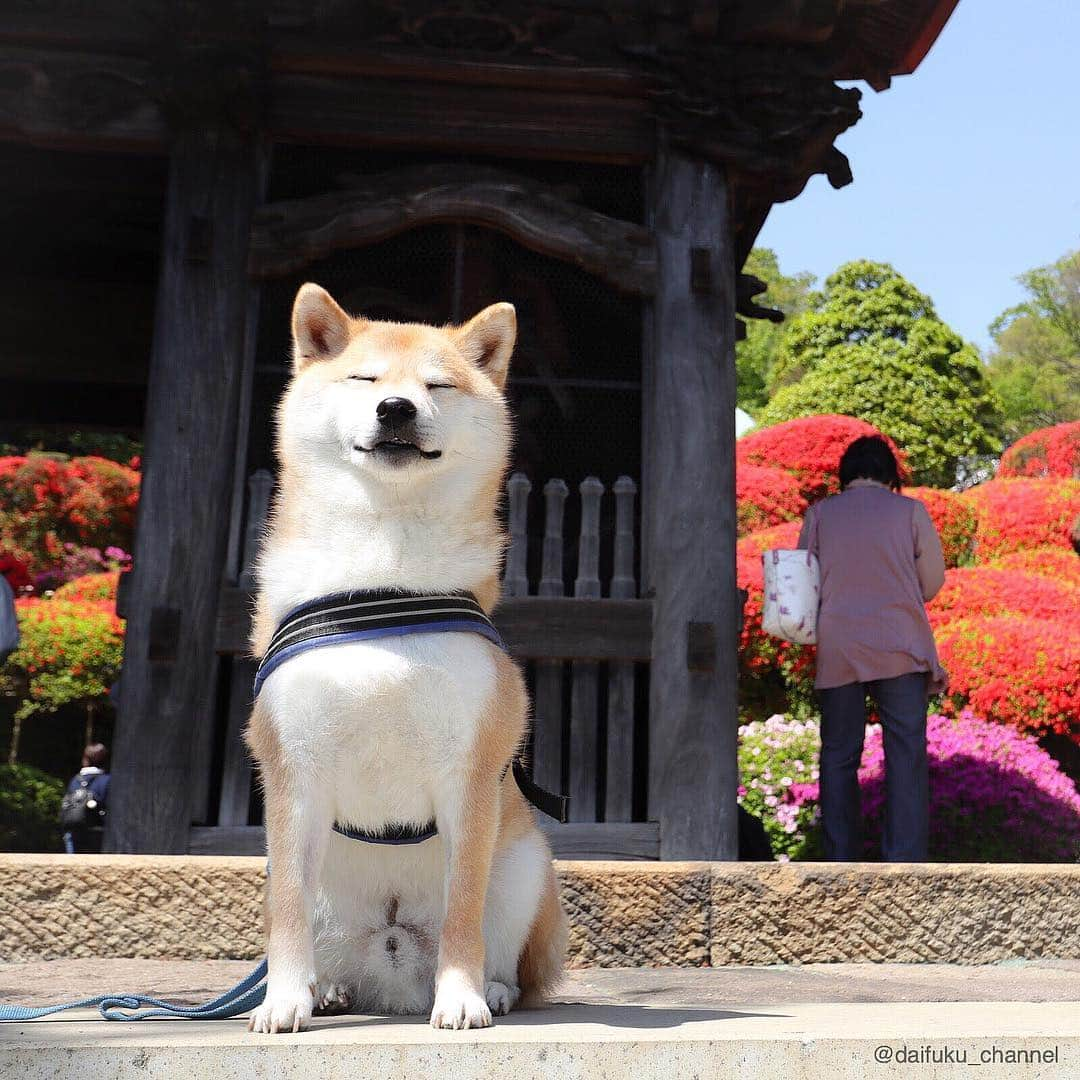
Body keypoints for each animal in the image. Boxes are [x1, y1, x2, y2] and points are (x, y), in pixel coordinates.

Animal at [243, 282, 565, 1032]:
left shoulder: (469, 773)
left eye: (437, 385)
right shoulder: (293, 770)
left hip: (526, 863)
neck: (384, 585)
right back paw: (326, 989)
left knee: (508, 950)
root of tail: (389, 963)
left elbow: (463, 911)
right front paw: (283, 1000)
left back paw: (495, 989)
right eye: (365, 380)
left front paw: (462, 997)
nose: (396, 407)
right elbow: (288, 914)